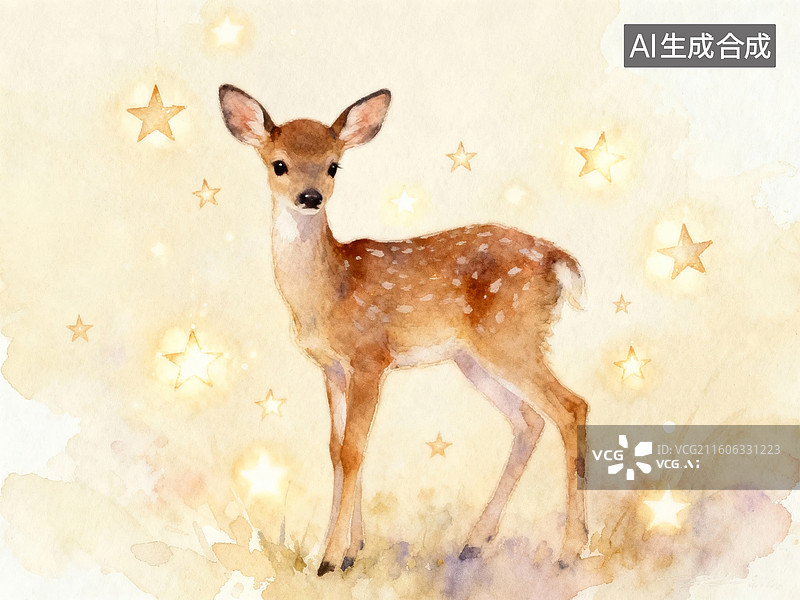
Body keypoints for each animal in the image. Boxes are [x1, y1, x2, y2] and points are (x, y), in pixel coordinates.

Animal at [218, 84, 589, 575]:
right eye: (279, 163)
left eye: (333, 165)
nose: (310, 196)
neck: (328, 292)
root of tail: (559, 260)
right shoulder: (332, 368)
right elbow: (337, 450)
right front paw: (348, 551)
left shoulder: (370, 357)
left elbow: (354, 450)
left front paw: (329, 559)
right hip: (473, 358)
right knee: (529, 421)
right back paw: (475, 543)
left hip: (512, 335)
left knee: (571, 408)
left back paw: (570, 550)